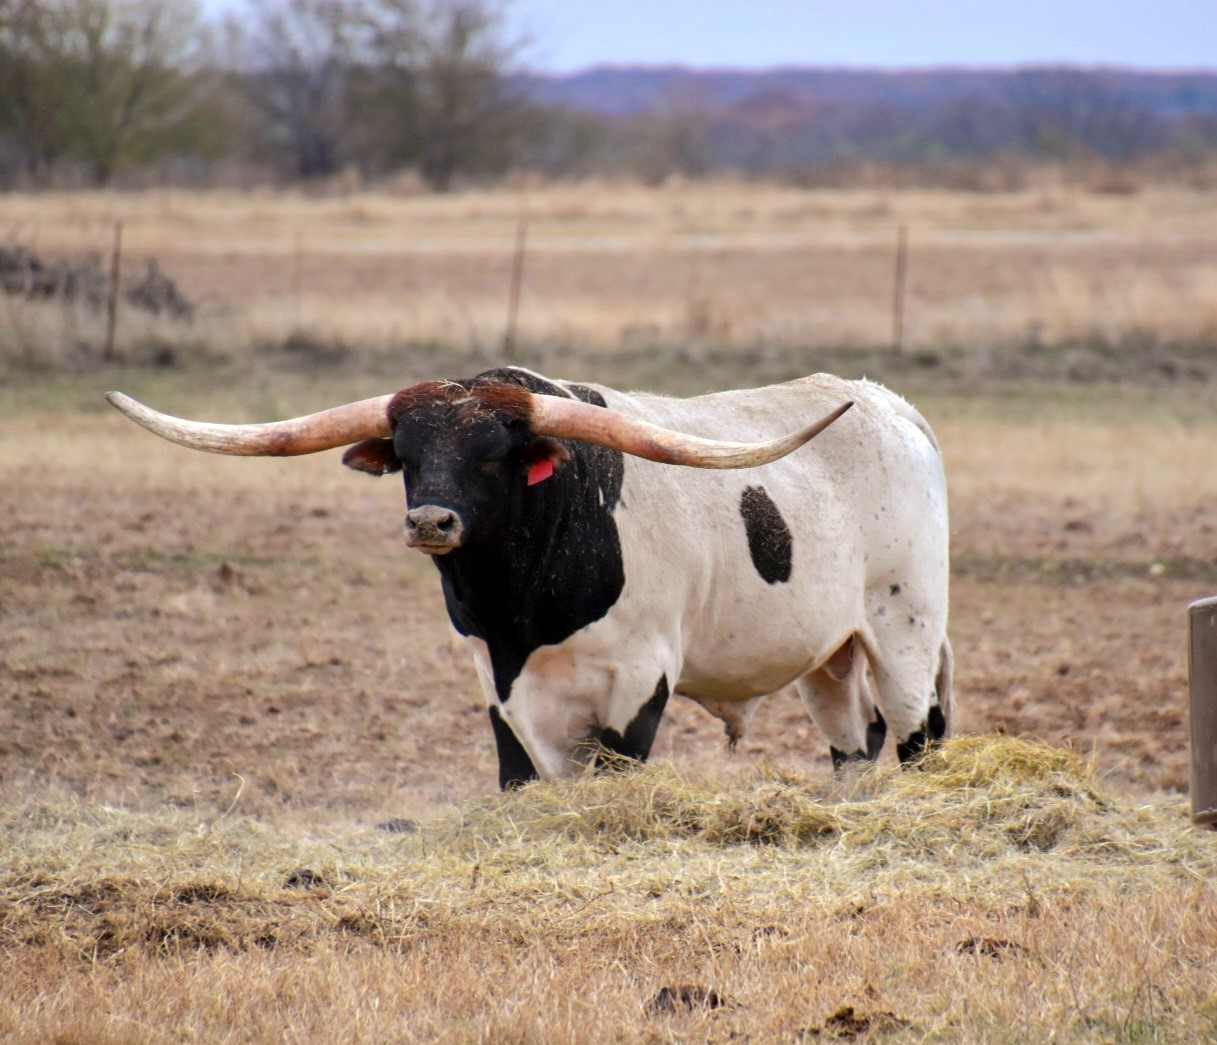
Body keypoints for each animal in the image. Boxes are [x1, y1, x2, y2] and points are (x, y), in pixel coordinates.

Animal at [107, 366, 952, 789]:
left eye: (493, 455)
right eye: (406, 455)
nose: (430, 522)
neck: (521, 608)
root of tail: (893, 407)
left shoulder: (639, 678)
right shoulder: (498, 681)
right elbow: (522, 777)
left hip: (905, 633)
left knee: (916, 735)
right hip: (829, 653)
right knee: (854, 740)